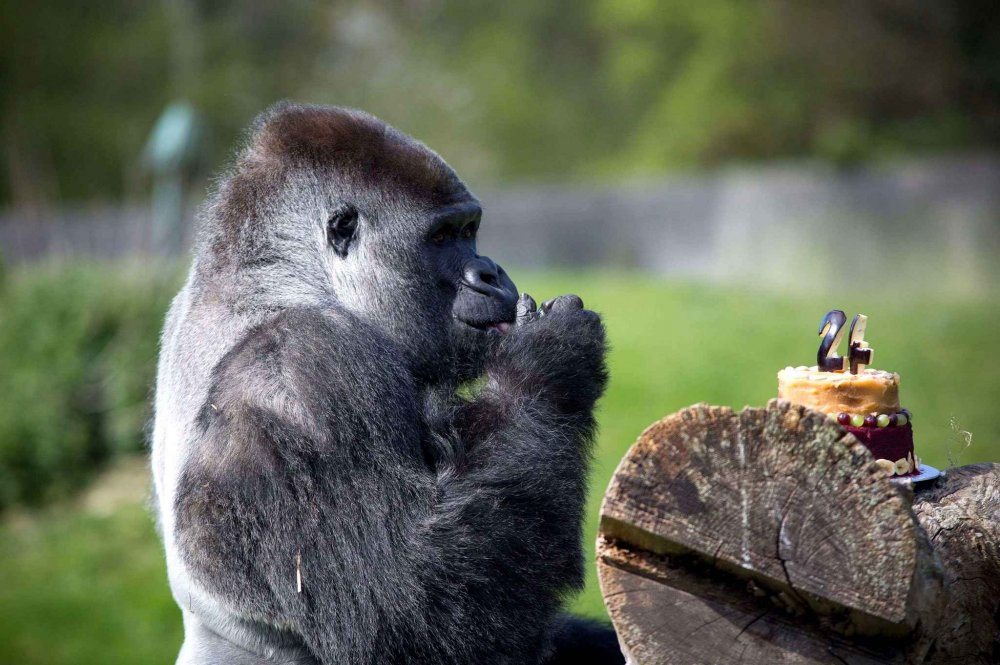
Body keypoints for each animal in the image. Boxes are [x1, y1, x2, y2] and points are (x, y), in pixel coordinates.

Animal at [149, 104, 620, 664]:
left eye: (470, 230)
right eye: (442, 237)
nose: (490, 272)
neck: (278, 277)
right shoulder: (306, 368)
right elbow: (411, 605)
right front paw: (549, 363)